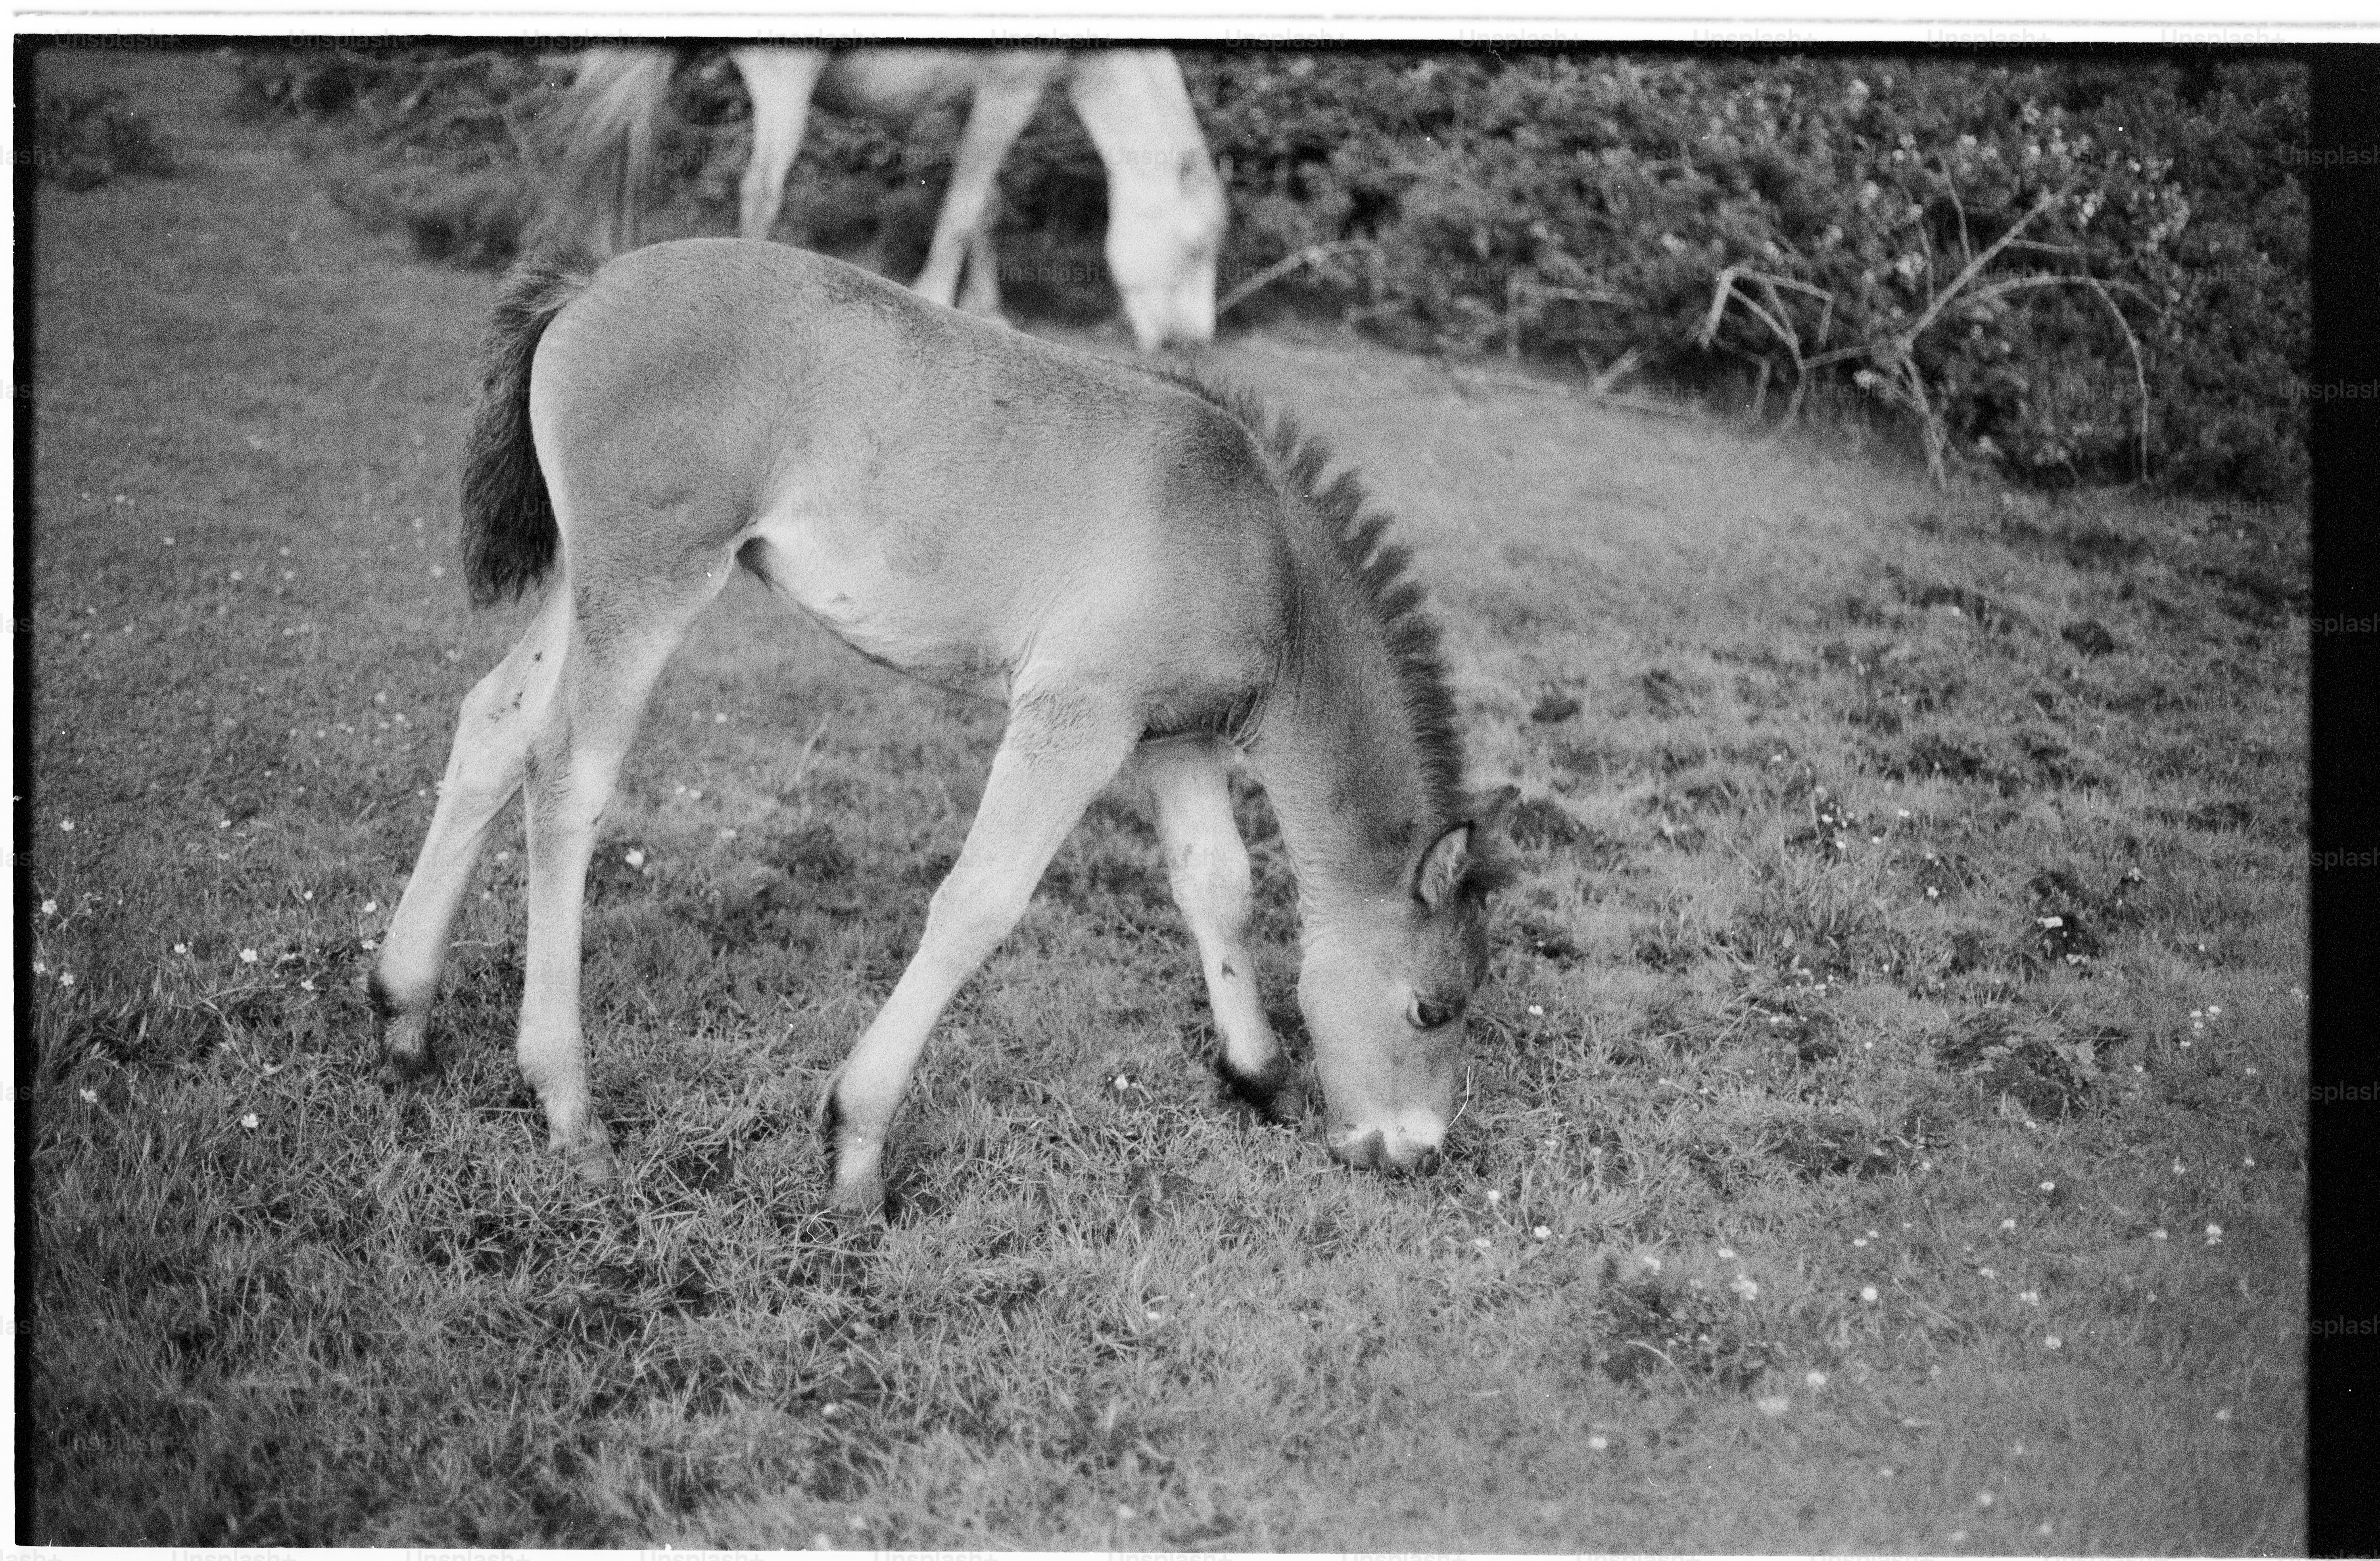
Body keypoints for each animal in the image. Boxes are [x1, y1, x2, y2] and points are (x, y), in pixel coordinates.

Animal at [368, 238, 1512, 1216]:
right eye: (1432, 1008)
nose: (1415, 1154)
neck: (1265, 559)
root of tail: (589, 285)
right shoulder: (1076, 715)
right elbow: (980, 903)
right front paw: (856, 1151)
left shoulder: (1172, 736)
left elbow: (1216, 886)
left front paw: (1258, 1073)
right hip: (652, 580)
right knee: (569, 775)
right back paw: (568, 1105)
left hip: (588, 580)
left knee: (494, 727)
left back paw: (403, 1013)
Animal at [550, 46, 1227, 352]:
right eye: (1195, 249)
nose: (1192, 343)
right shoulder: (1008, 93)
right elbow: (962, 215)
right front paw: (942, 302)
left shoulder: (965, 108)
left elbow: (983, 210)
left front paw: (989, 311)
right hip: (784, 80)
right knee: (761, 193)